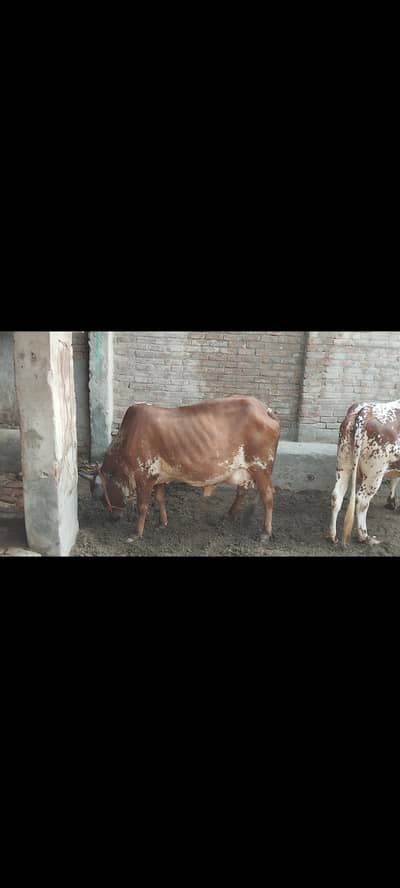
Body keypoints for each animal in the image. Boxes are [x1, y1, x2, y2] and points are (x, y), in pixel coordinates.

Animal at [79, 396, 281, 541]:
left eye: (100, 496)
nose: (113, 518)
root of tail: (265, 409)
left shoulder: (144, 476)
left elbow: (142, 506)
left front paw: (136, 534)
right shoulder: (158, 477)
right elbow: (160, 499)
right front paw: (162, 523)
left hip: (261, 467)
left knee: (268, 495)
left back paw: (265, 532)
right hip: (246, 469)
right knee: (243, 490)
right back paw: (229, 515)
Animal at [327, 399, 400, 547]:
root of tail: (364, 412)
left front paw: (391, 502)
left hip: (344, 464)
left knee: (336, 495)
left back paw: (332, 536)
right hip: (375, 472)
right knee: (362, 500)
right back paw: (365, 537)